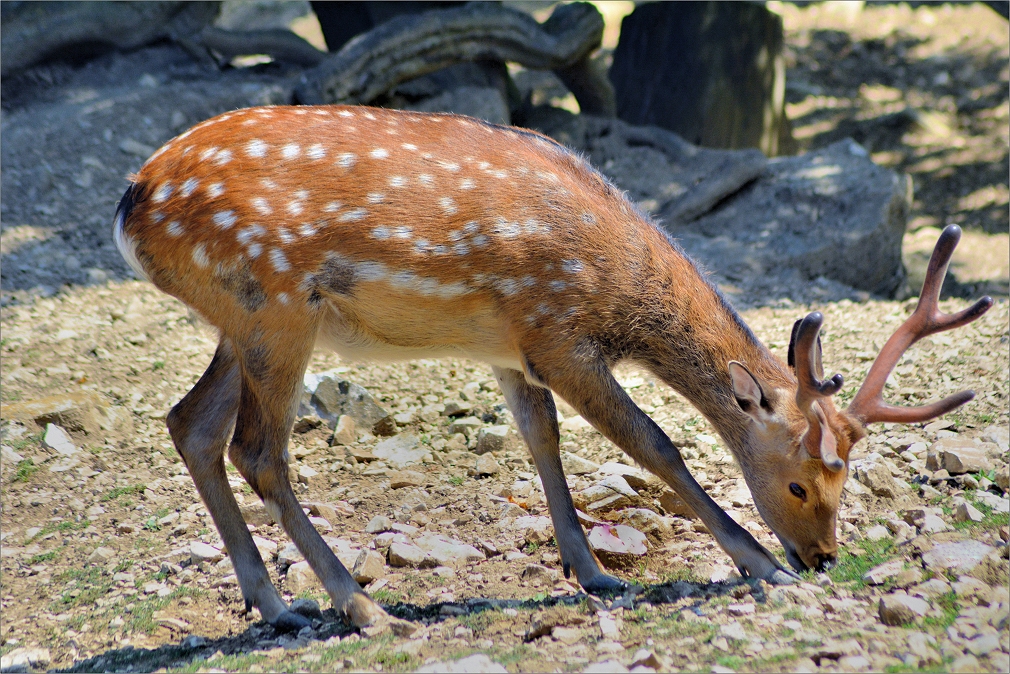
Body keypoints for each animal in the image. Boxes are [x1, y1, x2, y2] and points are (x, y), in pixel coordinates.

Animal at [114, 104, 989, 634]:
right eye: (804, 484)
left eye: (847, 477)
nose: (824, 557)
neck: (611, 283)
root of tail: (131, 205)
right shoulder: (559, 332)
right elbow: (654, 444)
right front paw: (757, 562)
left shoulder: (512, 343)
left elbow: (542, 438)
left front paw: (593, 571)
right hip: (278, 307)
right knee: (257, 450)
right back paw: (363, 608)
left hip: (243, 322)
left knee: (190, 424)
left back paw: (275, 603)